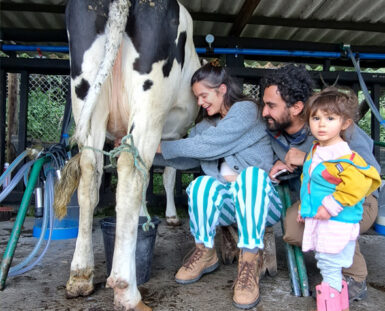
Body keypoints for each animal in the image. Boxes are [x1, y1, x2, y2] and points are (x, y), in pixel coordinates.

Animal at [55, 1, 200, 310]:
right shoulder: (175, 136)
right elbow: (166, 177)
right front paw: (171, 216)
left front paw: (148, 216)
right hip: (150, 101)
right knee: (130, 172)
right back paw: (126, 290)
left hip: (86, 92)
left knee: (91, 172)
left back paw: (80, 276)